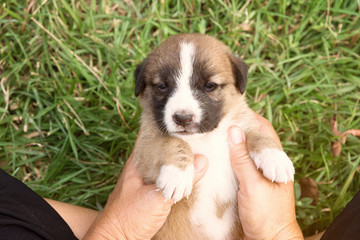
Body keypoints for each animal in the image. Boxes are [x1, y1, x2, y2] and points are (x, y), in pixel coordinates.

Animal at [134, 33, 294, 240]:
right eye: (162, 86)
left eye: (210, 86)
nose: (183, 118)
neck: (205, 137)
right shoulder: (146, 147)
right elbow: (173, 142)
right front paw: (177, 176)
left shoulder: (241, 125)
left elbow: (259, 135)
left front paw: (276, 159)